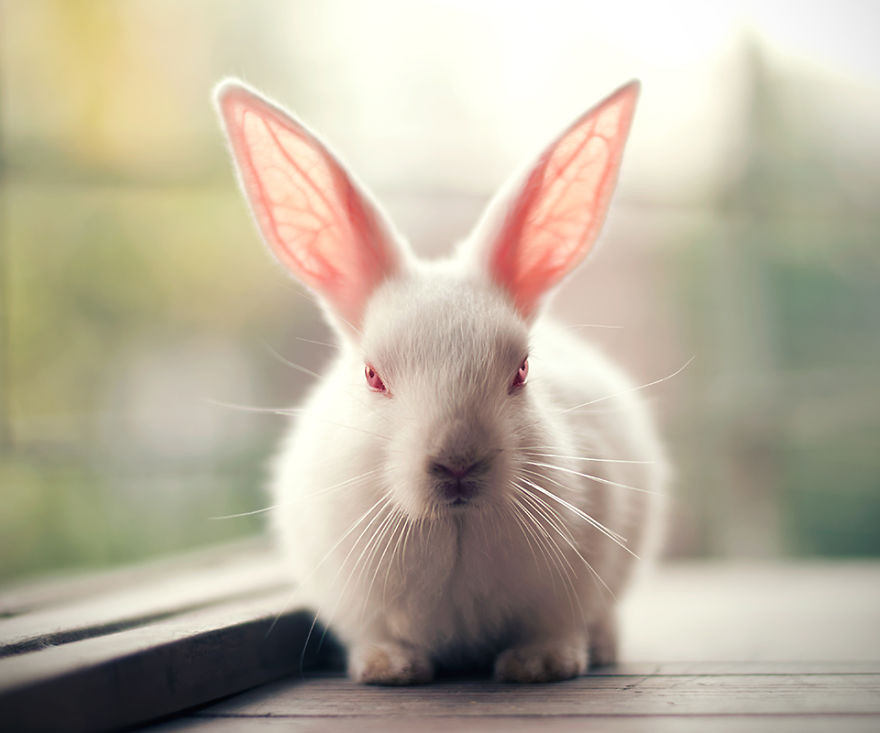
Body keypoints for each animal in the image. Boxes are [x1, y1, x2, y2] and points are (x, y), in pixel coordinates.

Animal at [215, 77, 668, 684]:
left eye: (522, 369)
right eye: (372, 375)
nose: (458, 463)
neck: (455, 526)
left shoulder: (576, 580)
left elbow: (553, 626)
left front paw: (540, 665)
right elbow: (376, 636)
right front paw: (387, 668)